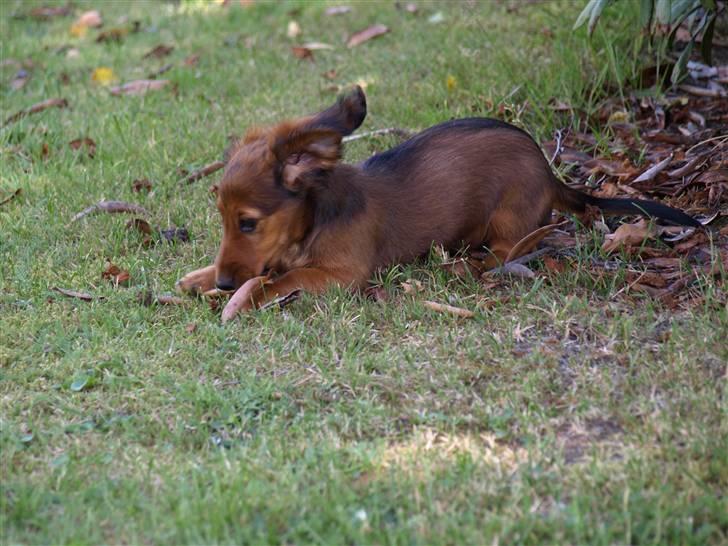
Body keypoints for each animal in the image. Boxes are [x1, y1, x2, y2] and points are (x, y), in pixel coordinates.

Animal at [176, 85, 700, 310]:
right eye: (223, 220)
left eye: (248, 223)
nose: (224, 283)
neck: (315, 220)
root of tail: (549, 172)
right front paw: (198, 278)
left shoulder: (342, 274)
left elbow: (281, 279)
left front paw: (244, 296)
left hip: (509, 213)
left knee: (517, 245)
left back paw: (472, 263)